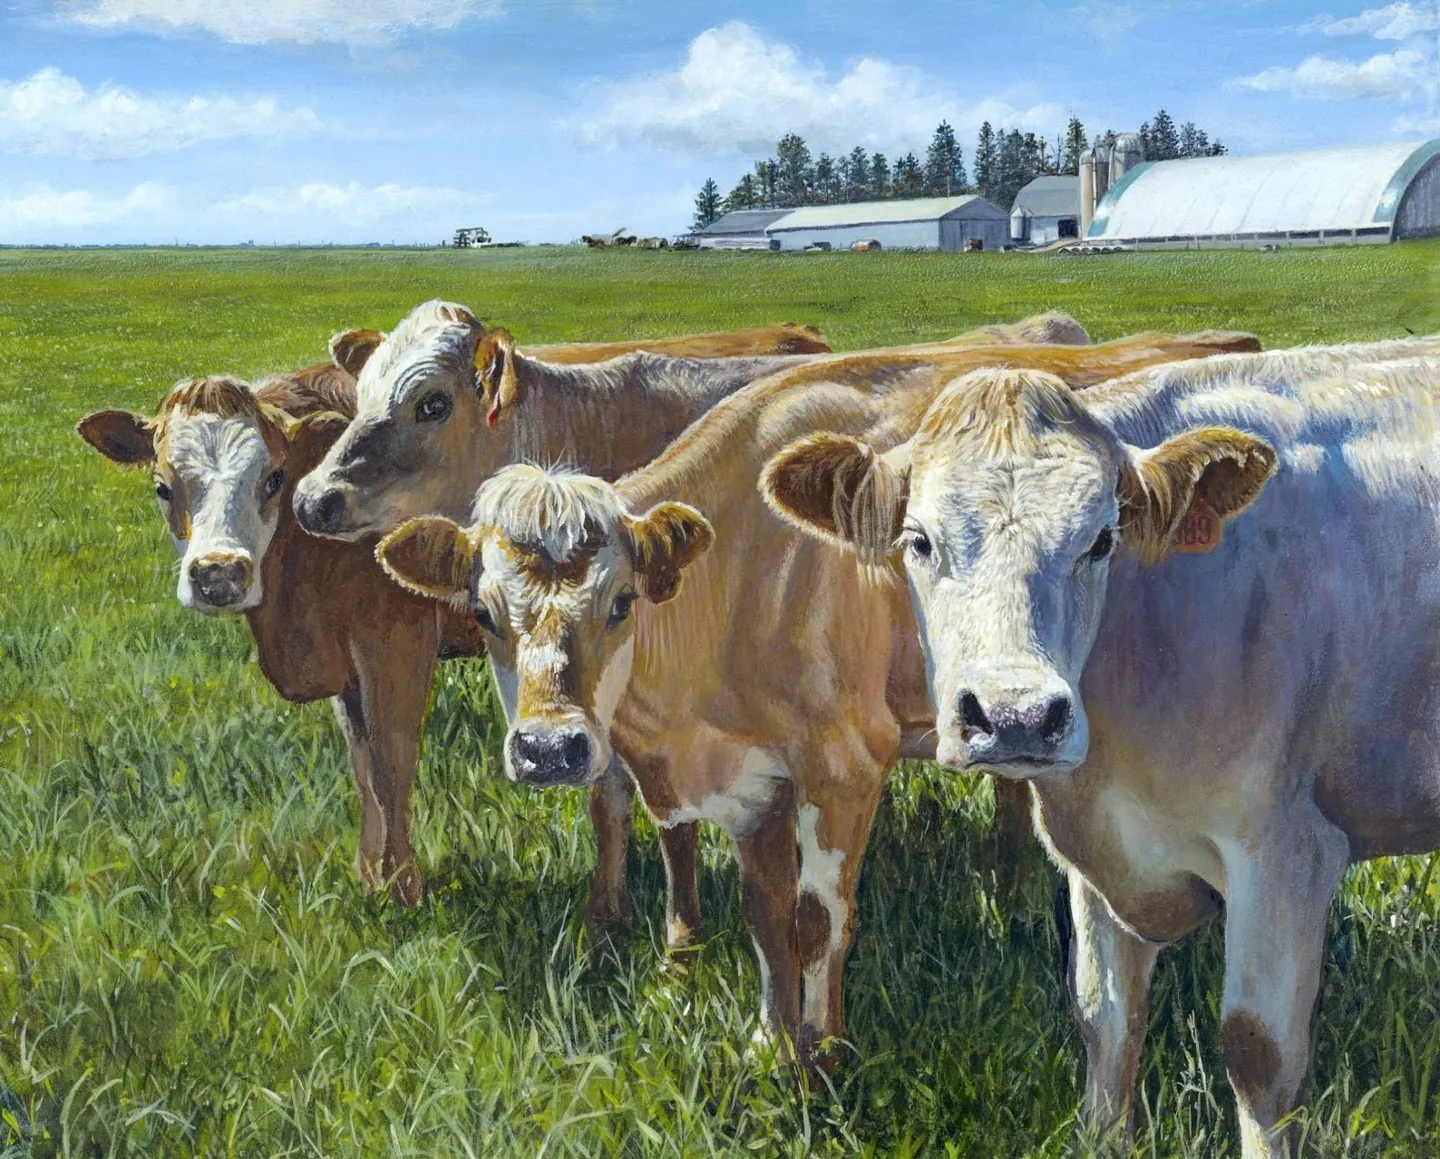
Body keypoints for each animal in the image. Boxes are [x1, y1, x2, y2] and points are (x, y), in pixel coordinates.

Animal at [76, 322, 836, 918]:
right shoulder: (349, 665)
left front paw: (404, 892)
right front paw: (370, 879)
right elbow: (362, 768)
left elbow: (391, 764)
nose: (218, 575)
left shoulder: (394, 645)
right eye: (163, 486)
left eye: (271, 479)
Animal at [371, 328, 1261, 1062]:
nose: (550, 748)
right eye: (483, 613)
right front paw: (773, 1041)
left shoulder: (843, 768)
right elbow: (764, 913)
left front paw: (823, 1055)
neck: (747, 570)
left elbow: (815, 920)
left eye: (621, 601)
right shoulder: (751, 777)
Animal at [761, 338, 1440, 1155]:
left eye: (1101, 539)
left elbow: (1258, 1053)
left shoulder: (1287, 851)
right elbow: (1104, 1016)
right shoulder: (1092, 852)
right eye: (919, 540)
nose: (1017, 716)